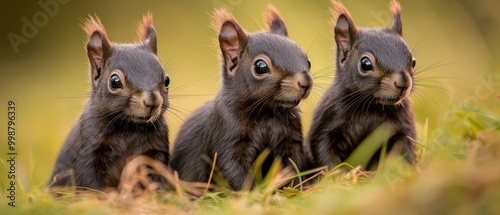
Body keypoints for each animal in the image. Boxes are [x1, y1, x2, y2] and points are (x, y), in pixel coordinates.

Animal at [48, 13, 171, 189]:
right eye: (115, 81)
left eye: (167, 80)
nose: (153, 101)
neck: (129, 126)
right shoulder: (89, 147)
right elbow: (90, 181)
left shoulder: (156, 149)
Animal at [171, 5, 312, 190]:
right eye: (260, 67)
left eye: (308, 61)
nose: (306, 82)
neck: (267, 113)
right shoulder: (227, 136)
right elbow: (233, 170)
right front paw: (252, 193)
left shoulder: (290, 138)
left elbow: (292, 165)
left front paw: (296, 187)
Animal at [306, 0, 416, 170]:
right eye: (365, 64)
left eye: (413, 61)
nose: (403, 83)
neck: (371, 107)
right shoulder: (327, 121)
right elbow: (322, 149)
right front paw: (337, 175)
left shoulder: (404, 126)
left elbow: (405, 149)